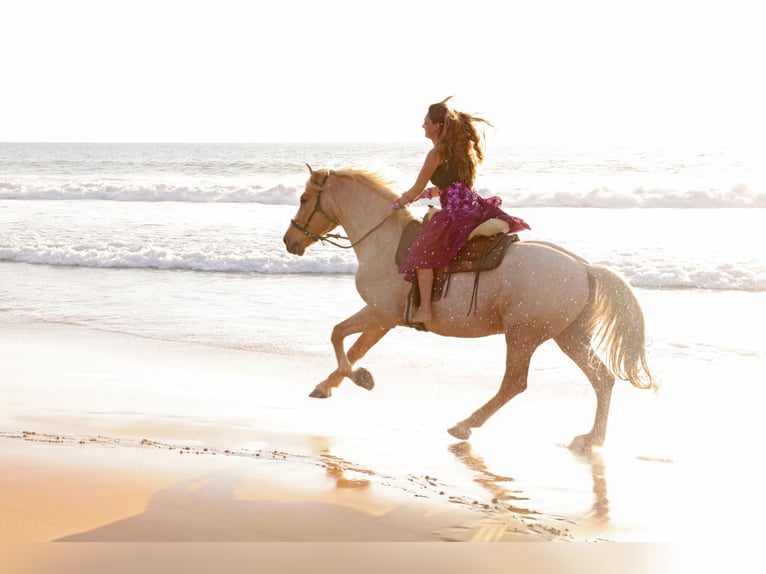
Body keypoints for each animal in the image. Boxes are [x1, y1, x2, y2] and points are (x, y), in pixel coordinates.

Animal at [282, 164, 656, 452]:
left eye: (304, 199)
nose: (290, 241)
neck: (385, 243)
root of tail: (585, 269)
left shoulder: (380, 312)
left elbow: (338, 335)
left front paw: (359, 378)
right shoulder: (385, 319)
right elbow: (354, 347)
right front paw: (329, 385)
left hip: (524, 335)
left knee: (515, 384)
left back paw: (464, 425)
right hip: (570, 336)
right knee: (602, 379)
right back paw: (591, 439)